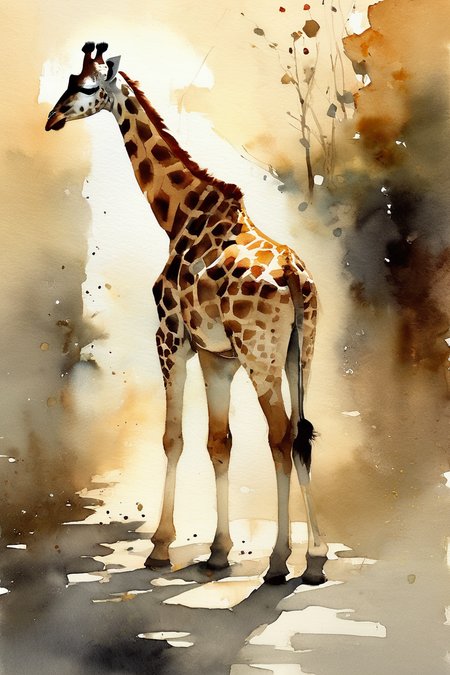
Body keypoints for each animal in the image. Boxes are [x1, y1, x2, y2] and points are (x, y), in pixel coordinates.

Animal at [46, 43, 328, 584]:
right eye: (70, 79)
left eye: (87, 86)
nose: (52, 118)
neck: (177, 214)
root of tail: (295, 276)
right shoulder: (218, 358)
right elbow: (220, 443)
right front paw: (218, 553)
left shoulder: (170, 338)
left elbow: (172, 437)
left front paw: (160, 546)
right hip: (298, 355)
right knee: (301, 434)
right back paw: (315, 559)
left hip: (261, 359)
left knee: (280, 436)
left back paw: (281, 561)